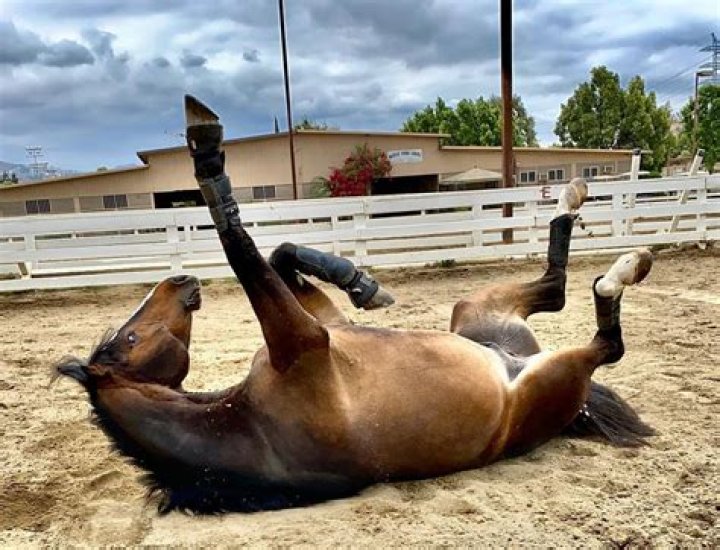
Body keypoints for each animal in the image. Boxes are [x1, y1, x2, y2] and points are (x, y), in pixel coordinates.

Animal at [54, 96, 655, 514]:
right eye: (130, 338)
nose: (179, 281)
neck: (245, 425)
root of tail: (516, 361)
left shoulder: (320, 329)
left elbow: (278, 253)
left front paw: (362, 283)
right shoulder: (305, 341)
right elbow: (244, 251)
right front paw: (207, 157)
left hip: (475, 311)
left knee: (555, 286)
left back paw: (575, 200)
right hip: (554, 373)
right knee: (603, 338)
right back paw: (622, 268)